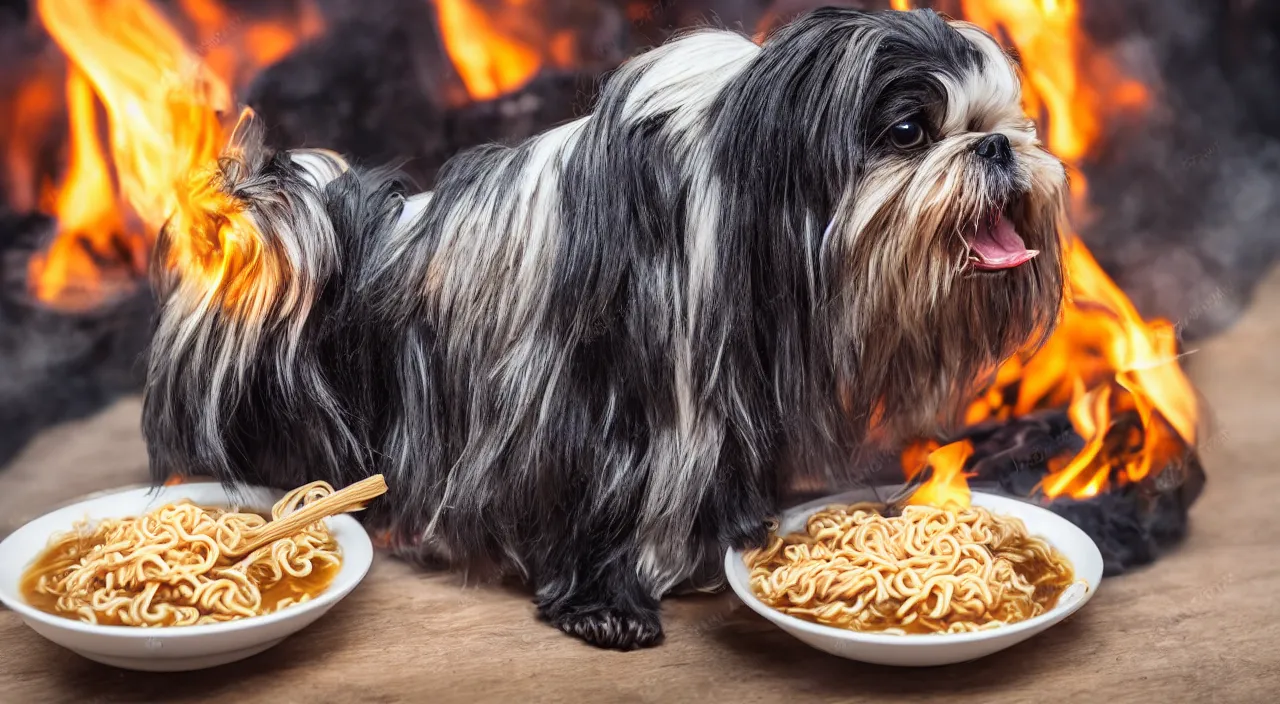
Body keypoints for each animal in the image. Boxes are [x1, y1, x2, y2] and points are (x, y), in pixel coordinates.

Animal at [142, 8, 1070, 655]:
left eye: (1009, 121)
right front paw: (607, 605)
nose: (996, 148)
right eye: (910, 131)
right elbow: (600, 497)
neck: (738, 189)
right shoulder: (601, 403)